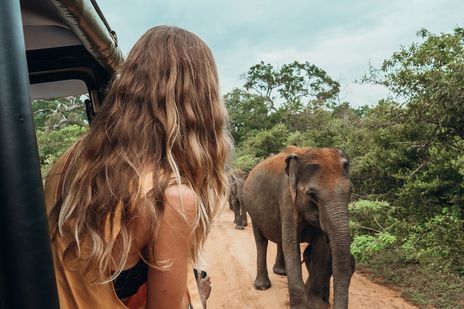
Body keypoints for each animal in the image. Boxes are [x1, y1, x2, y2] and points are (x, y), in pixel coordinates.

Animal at [243, 145, 356, 308]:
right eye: (312, 195)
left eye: (350, 191)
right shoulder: (287, 198)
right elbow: (291, 245)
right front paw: (303, 306)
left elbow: (320, 248)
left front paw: (316, 305)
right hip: (252, 210)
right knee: (261, 241)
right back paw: (262, 286)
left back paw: (281, 272)